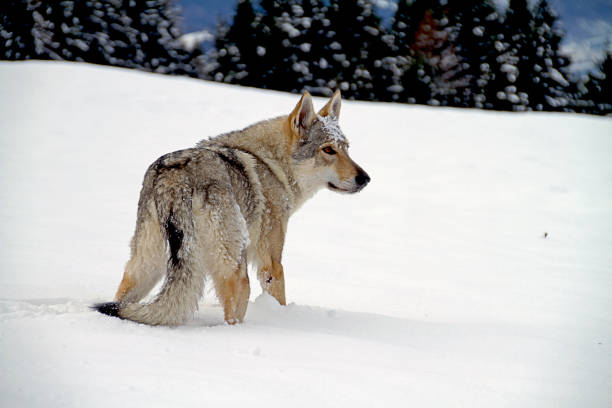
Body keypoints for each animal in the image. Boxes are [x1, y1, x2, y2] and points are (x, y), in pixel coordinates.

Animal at [91, 91, 368, 326]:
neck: (272, 166)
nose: (365, 178)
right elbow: (279, 297)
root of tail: (176, 179)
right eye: (328, 150)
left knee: (126, 300)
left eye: (346, 148)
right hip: (237, 273)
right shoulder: (271, 264)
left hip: (145, 267)